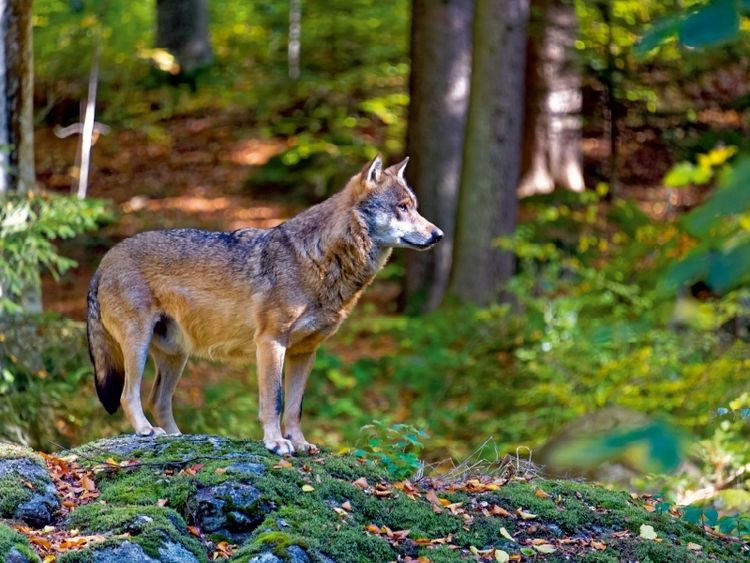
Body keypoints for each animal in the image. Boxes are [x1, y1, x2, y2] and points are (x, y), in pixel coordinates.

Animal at [86, 155, 442, 455]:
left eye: (414, 207)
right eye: (402, 207)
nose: (438, 234)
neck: (319, 259)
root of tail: (105, 260)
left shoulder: (305, 352)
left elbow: (295, 407)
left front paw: (299, 443)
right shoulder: (271, 342)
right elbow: (275, 401)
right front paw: (276, 443)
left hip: (176, 355)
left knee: (158, 399)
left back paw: (177, 437)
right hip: (139, 345)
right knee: (128, 395)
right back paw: (145, 431)